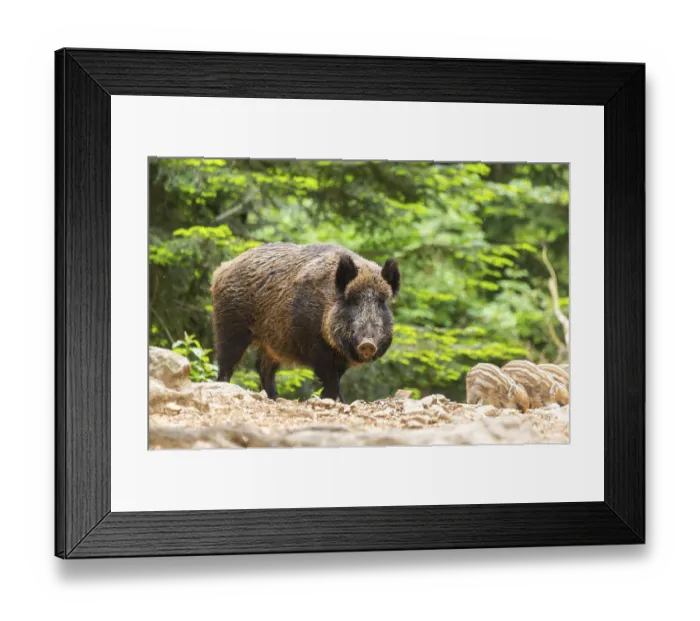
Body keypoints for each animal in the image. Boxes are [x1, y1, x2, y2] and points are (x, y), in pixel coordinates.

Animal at [210, 242, 400, 402]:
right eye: (352, 300)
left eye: (381, 302)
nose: (368, 343)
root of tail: (221, 270)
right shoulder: (315, 346)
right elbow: (330, 379)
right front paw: (332, 400)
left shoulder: (340, 357)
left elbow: (336, 379)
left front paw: (339, 401)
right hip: (229, 326)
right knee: (226, 362)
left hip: (271, 343)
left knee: (263, 368)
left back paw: (276, 398)